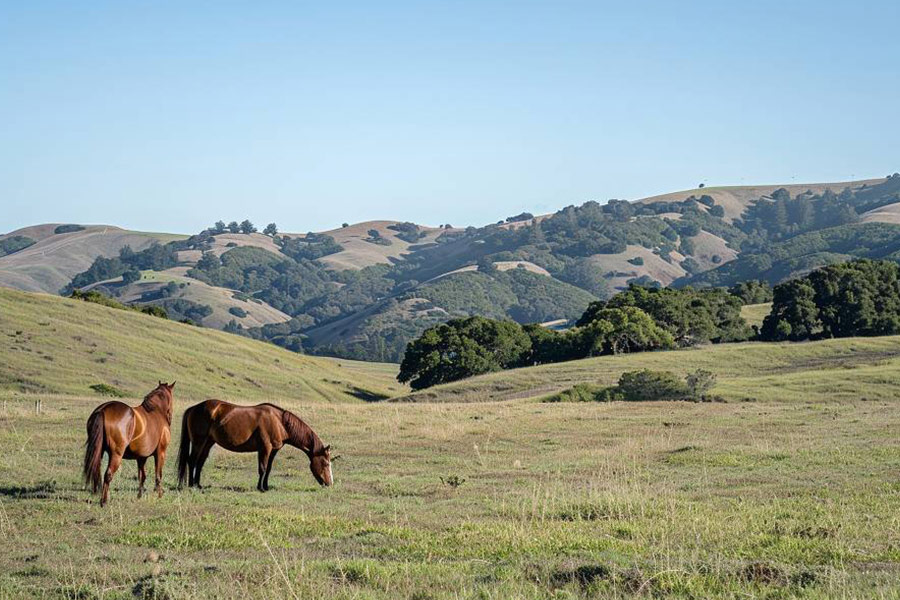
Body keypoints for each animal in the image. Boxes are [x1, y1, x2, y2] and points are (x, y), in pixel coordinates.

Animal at [177, 400, 334, 492]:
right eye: (326, 463)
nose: (330, 483)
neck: (279, 422)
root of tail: (194, 408)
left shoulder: (273, 450)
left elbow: (268, 469)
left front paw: (266, 486)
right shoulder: (265, 448)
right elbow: (262, 468)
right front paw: (260, 488)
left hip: (208, 442)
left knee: (200, 462)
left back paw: (198, 485)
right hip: (198, 442)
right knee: (192, 461)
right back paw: (190, 485)